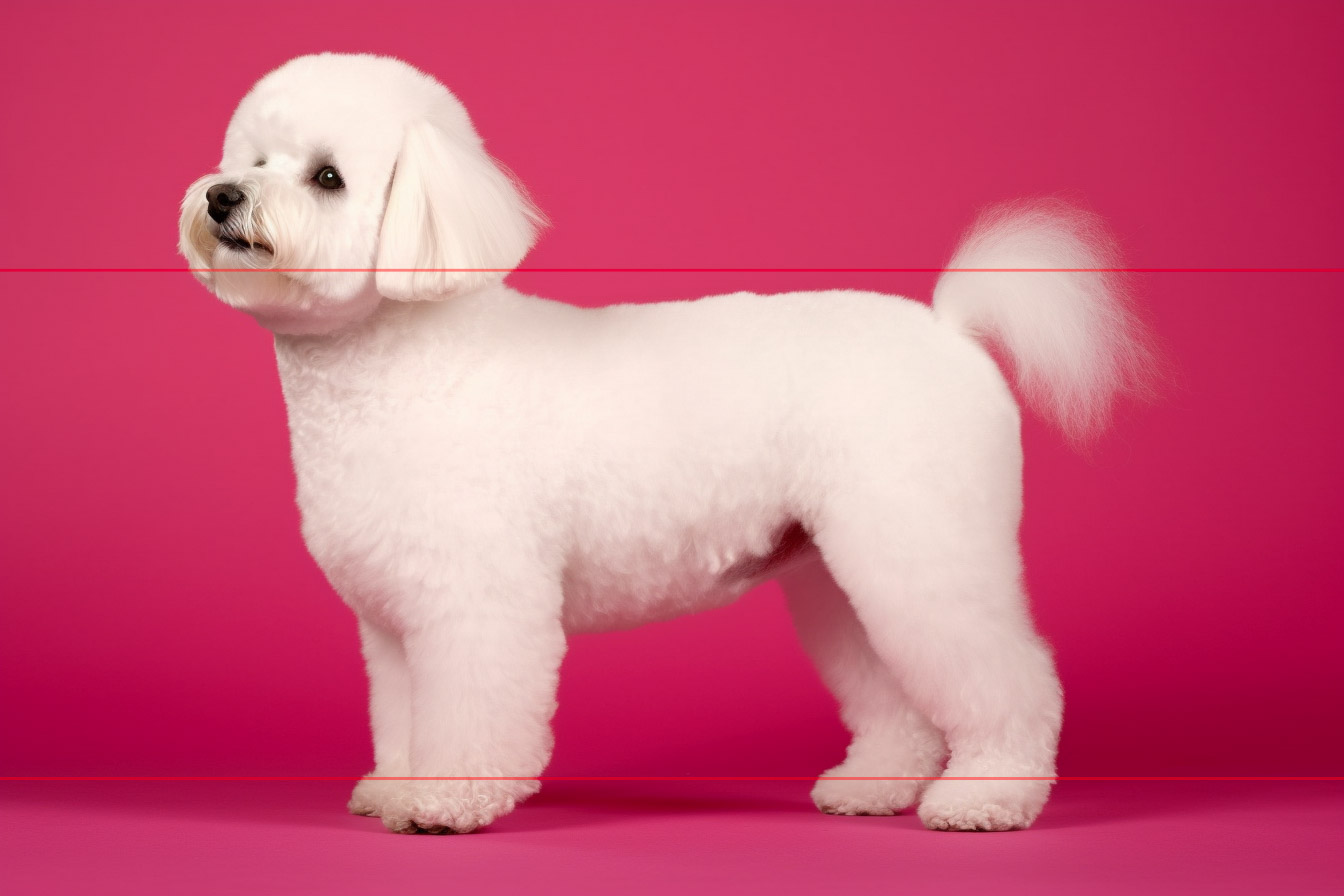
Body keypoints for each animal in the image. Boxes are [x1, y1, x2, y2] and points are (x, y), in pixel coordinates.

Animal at [176, 54, 1145, 832]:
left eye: (327, 176)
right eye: (251, 160)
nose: (222, 196)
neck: (402, 361)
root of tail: (950, 329)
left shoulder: (476, 600)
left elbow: (473, 713)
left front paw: (445, 805)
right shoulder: (393, 617)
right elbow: (405, 715)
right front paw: (396, 787)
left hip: (923, 541)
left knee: (1013, 679)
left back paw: (988, 797)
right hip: (841, 569)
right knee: (895, 693)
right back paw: (873, 786)